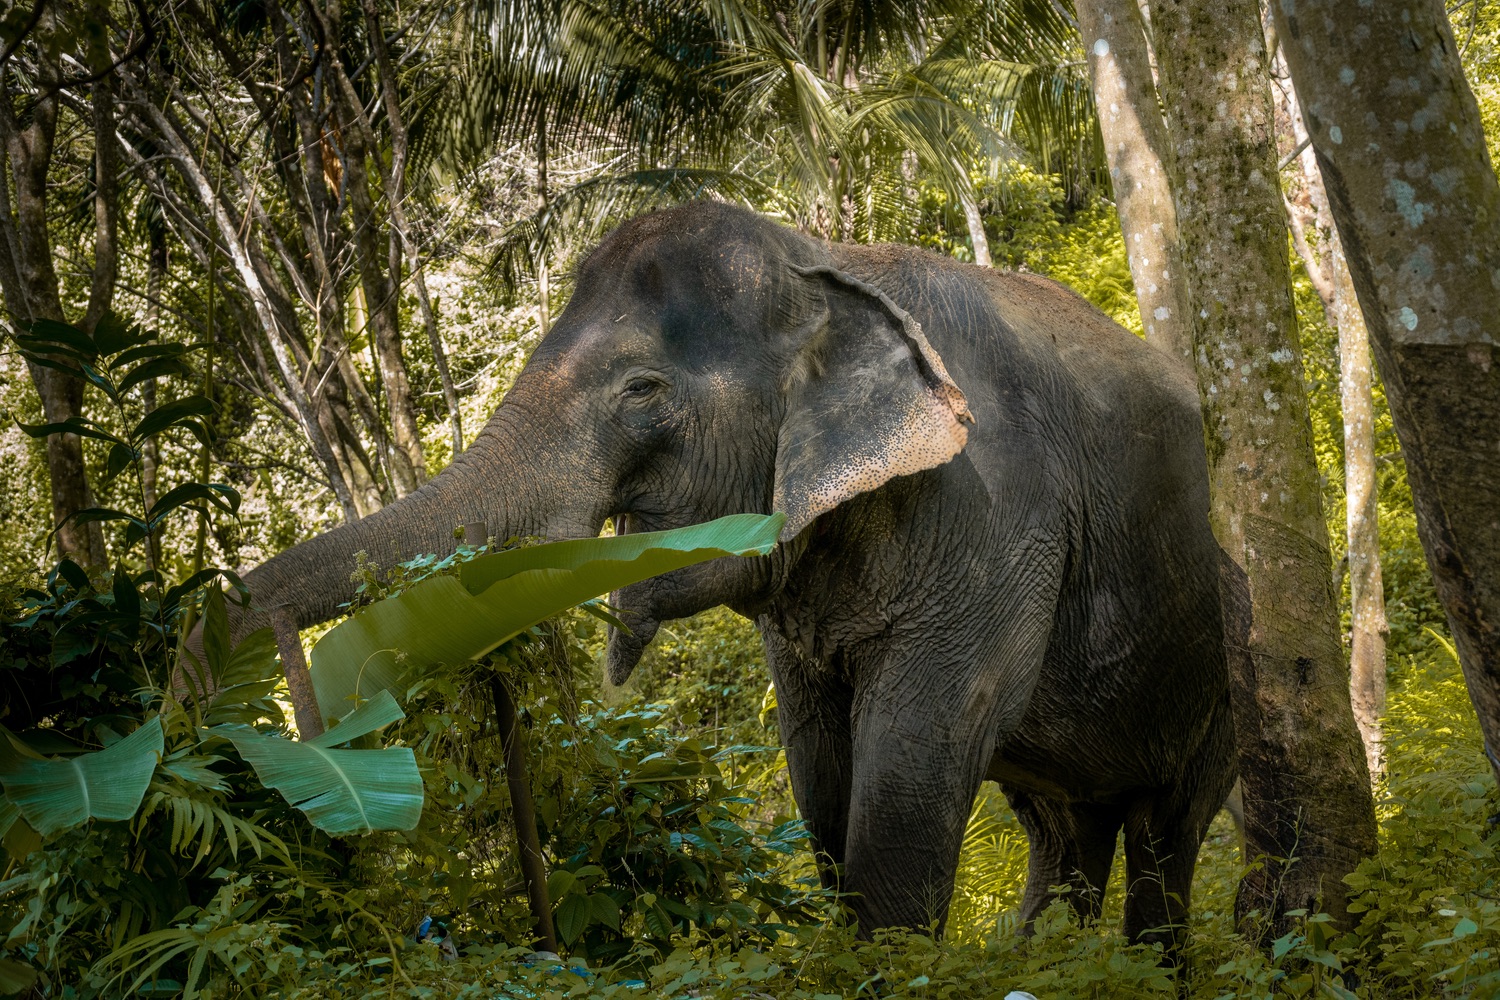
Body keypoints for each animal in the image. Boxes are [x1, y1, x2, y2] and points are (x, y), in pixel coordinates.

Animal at [234, 200, 1236, 947]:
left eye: (643, 391)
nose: (300, 707)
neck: (826, 266)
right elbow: (820, 777)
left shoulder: (995, 522)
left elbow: (908, 784)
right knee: (1062, 835)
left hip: (1231, 663)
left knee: (1164, 842)